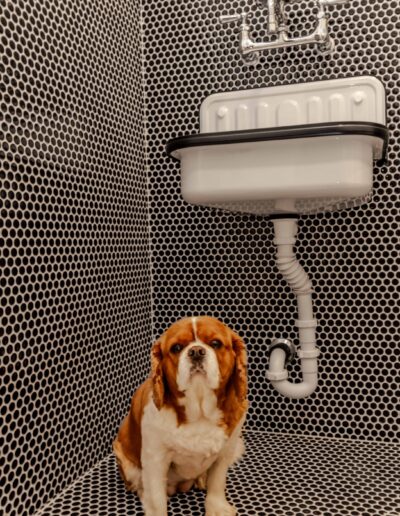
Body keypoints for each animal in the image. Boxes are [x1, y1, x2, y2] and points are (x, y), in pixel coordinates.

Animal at [112, 316, 248, 512]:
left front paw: (216, 507)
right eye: (176, 348)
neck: (199, 411)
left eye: (215, 343)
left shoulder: (226, 450)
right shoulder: (155, 458)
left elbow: (217, 481)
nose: (196, 351)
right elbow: (156, 497)